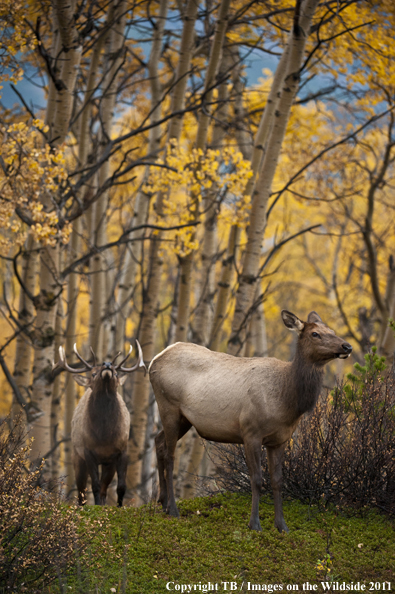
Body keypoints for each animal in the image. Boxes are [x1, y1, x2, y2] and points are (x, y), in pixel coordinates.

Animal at [52, 342, 145, 504]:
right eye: (93, 374)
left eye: (116, 373)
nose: (107, 364)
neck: (104, 437)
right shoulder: (88, 451)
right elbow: (94, 486)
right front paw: (96, 506)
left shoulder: (121, 451)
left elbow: (120, 487)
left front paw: (119, 506)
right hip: (76, 456)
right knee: (81, 491)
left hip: (107, 463)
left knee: (103, 488)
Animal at [149, 312, 352, 528]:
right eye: (315, 334)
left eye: (332, 330)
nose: (347, 346)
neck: (287, 401)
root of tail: (154, 360)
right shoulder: (251, 431)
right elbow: (257, 479)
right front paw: (254, 523)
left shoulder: (280, 439)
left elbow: (277, 480)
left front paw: (281, 525)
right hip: (168, 406)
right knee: (170, 456)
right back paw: (173, 509)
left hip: (184, 419)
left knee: (159, 442)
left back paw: (162, 501)